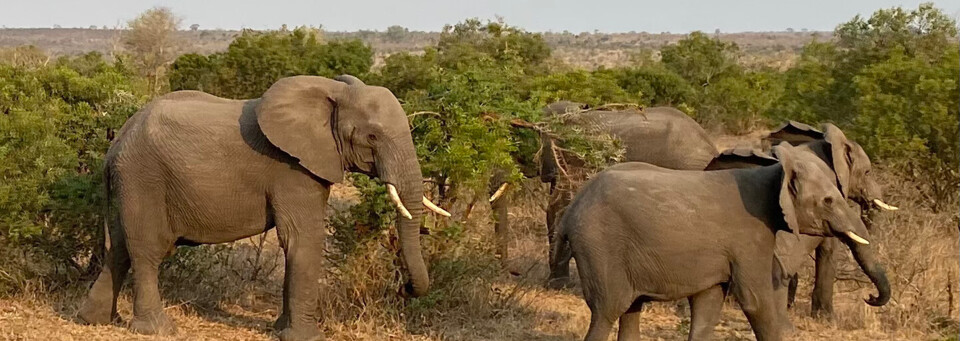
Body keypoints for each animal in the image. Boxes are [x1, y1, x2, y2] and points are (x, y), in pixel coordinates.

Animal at [79, 75, 450, 340]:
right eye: (372, 137)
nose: (404, 288)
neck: (332, 93)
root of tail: (117, 142)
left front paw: (280, 330)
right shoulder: (292, 169)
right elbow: (303, 239)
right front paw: (306, 338)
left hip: (128, 182)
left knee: (120, 248)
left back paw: (97, 320)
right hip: (143, 178)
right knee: (146, 250)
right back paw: (158, 330)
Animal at [556, 143, 892, 340]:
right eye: (827, 201)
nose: (870, 298)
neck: (774, 173)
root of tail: (573, 208)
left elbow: (709, 305)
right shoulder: (749, 238)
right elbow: (756, 300)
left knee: (631, 310)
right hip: (598, 245)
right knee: (607, 311)